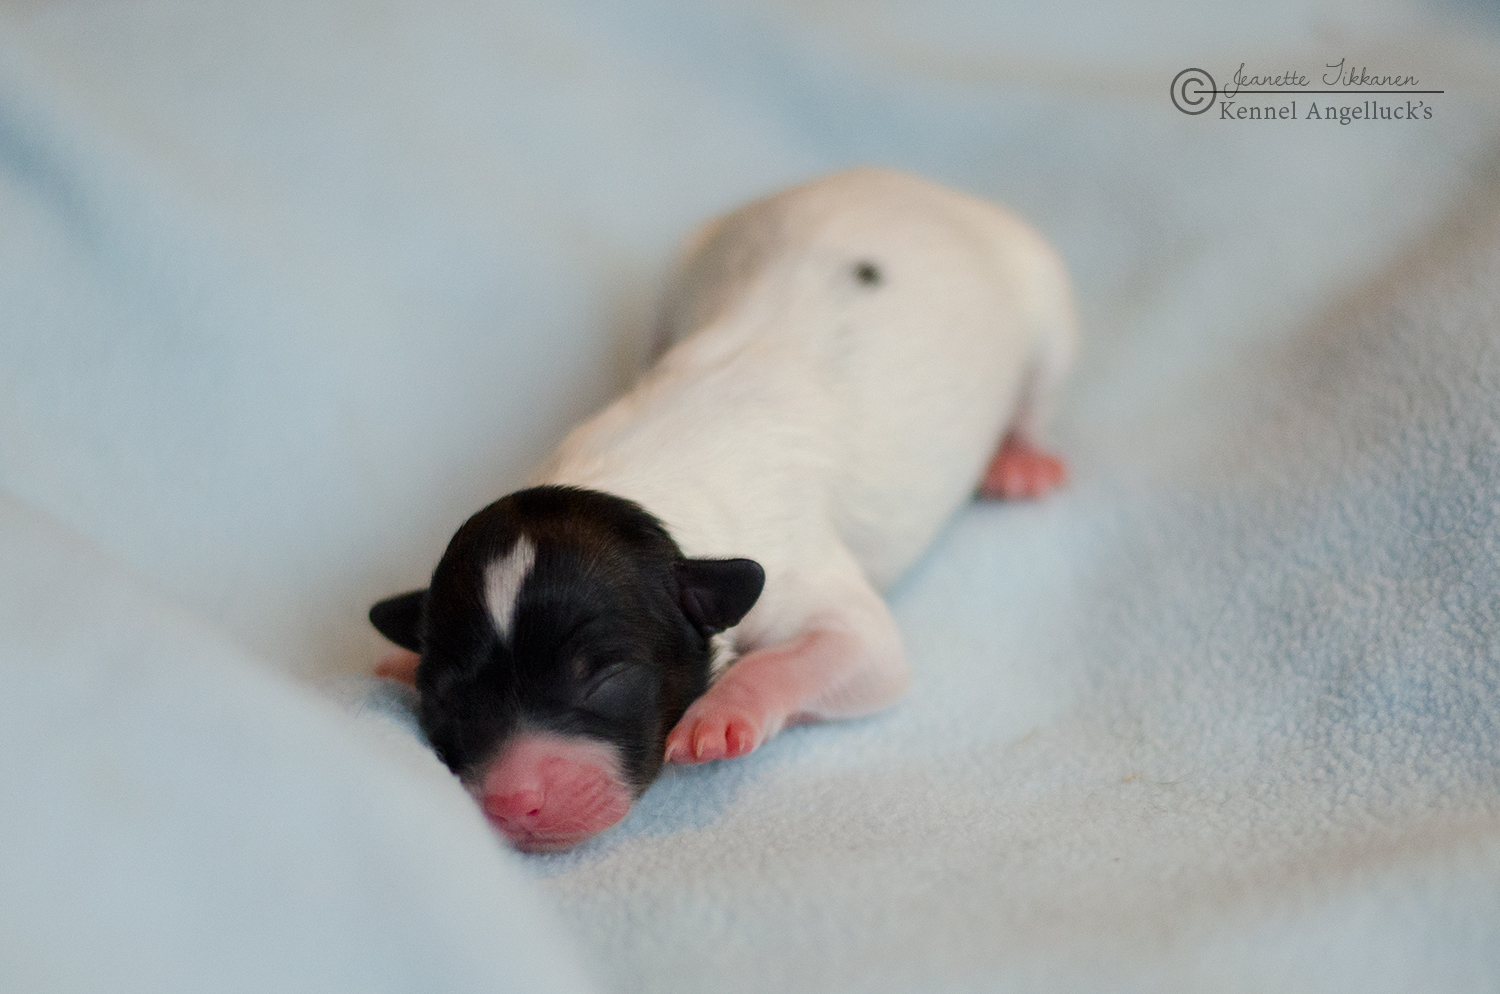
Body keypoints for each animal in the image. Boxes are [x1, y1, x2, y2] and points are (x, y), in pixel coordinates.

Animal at [369, 168, 1076, 852]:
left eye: (605, 680)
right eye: (445, 694)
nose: (515, 804)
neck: (636, 482)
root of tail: (914, 183)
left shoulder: (804, 576)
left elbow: (850, 648)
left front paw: (723, 712)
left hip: (1045, 303)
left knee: (1041, 390)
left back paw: (1022, 459)